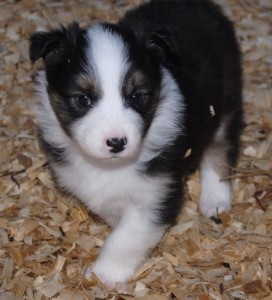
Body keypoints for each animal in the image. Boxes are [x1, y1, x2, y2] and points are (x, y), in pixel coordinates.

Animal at [29, 0, 242, 288]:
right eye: (83, 99)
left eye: (137, 96)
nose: (117, 142)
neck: (109, 167)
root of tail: (202, 5)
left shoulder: (158, 195)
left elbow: (126, 237)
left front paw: (103, 275)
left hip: (225, 100)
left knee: (220, 149)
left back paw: (215, 200)